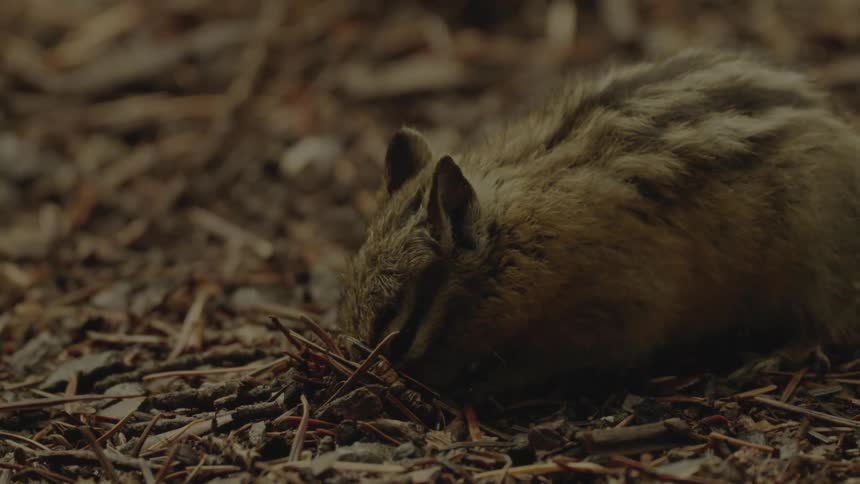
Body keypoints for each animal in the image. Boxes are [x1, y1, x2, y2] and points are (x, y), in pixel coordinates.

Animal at [336, 49, 860, 396]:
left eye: (397, 324)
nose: (360, 377)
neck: (515, 241)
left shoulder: (613, 312)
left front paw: (485, 381)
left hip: (816, 255)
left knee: (829, 323)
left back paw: (777, 355)